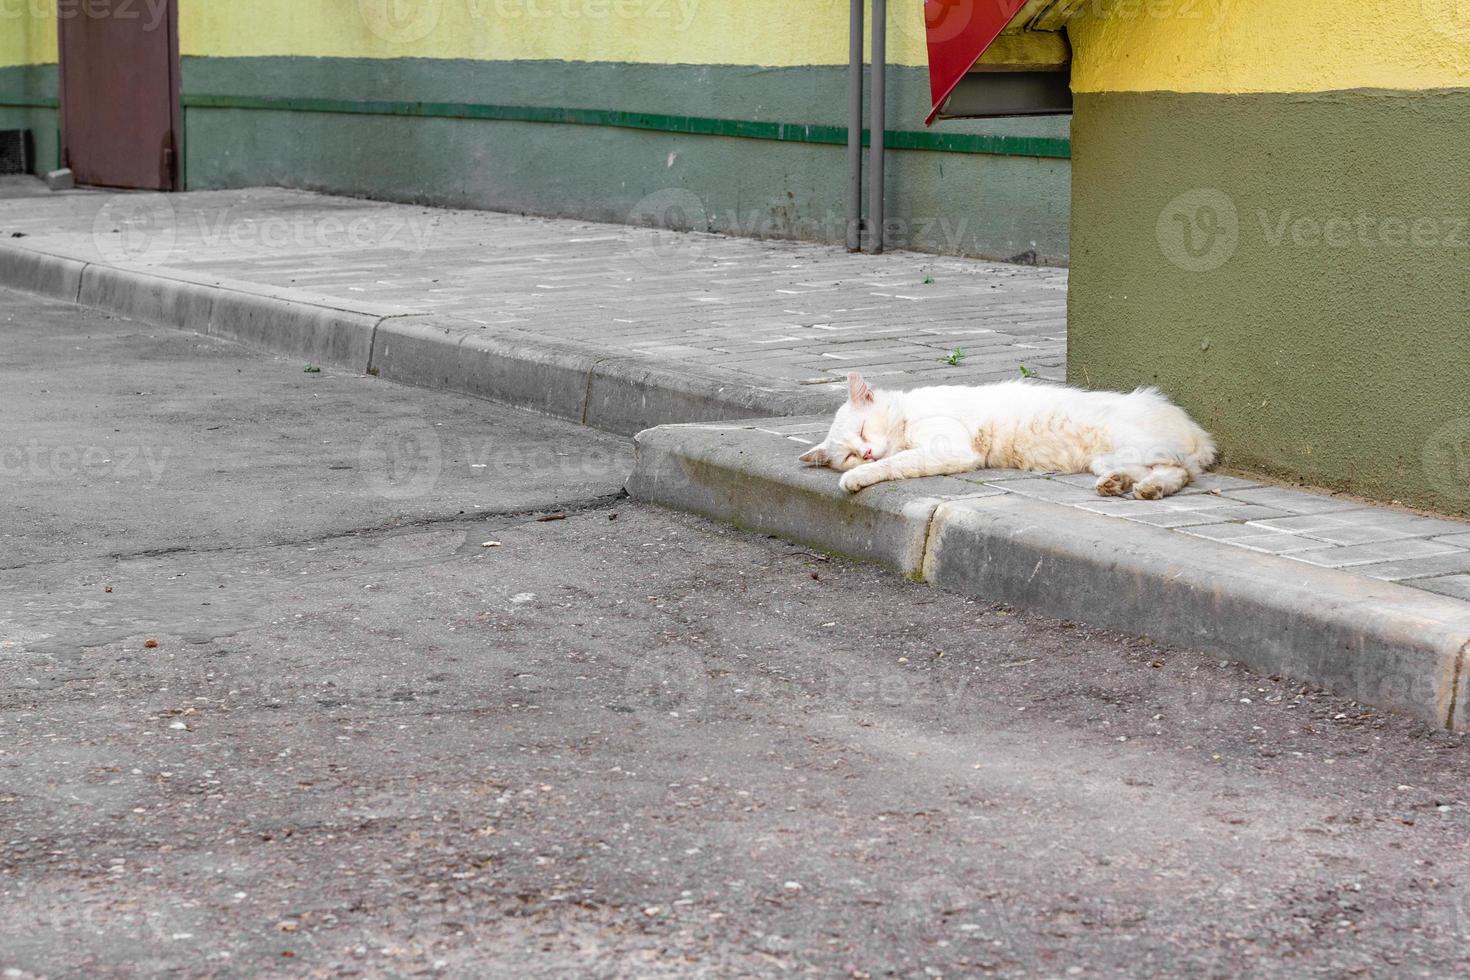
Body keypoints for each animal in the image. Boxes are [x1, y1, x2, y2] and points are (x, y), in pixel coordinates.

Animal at [799, 373, 1211, 502]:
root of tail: (1194, 427)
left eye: (863, 432)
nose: (866, 453)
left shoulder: (949, 449)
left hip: (1135, 445)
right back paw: (1120, 485)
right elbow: (896, 459)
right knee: (1162, 472)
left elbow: (897, 461)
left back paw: (1145, 489)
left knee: (1180, 470)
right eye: (849, 454)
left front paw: (857, 478)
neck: (907, 413)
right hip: (1108, 458)